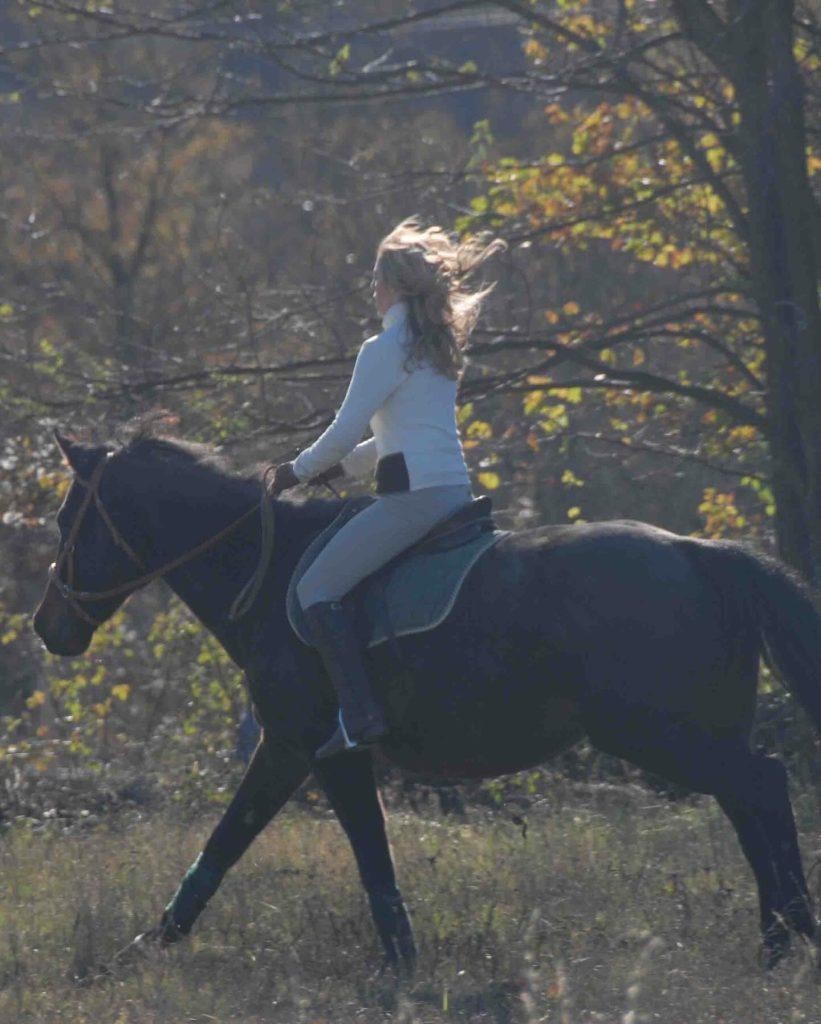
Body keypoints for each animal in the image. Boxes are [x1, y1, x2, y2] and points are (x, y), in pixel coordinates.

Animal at [33, 432, 818, 966]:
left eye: (68, 519)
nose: (46, 627)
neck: (266, 568)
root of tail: (699, 553)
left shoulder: (303, 746)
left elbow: (252, 839)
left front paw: (149, 944)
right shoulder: (314, 753)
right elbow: (349, 849)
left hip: (660, 733)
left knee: (758, 786)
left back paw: (786, 940)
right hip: (689, 734)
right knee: (752, 799)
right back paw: (784, 940)